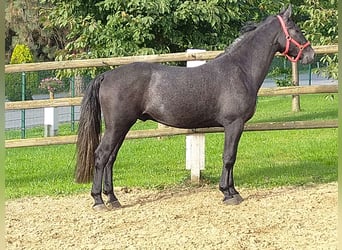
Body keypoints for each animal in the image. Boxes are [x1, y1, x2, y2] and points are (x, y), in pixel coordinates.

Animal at [75, 4, 316, 210]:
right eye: (296, 29)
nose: (311, 54)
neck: (240, 69)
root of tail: (106, 75)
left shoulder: (235, 126)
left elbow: (231, 158)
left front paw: (233, 191)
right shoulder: (234, 124)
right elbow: (229, 157)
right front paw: (228, 193)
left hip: (122, 126)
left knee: (110, 159)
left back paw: (113, 199)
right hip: (117, 126)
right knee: (101, 156)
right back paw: (98, 200)